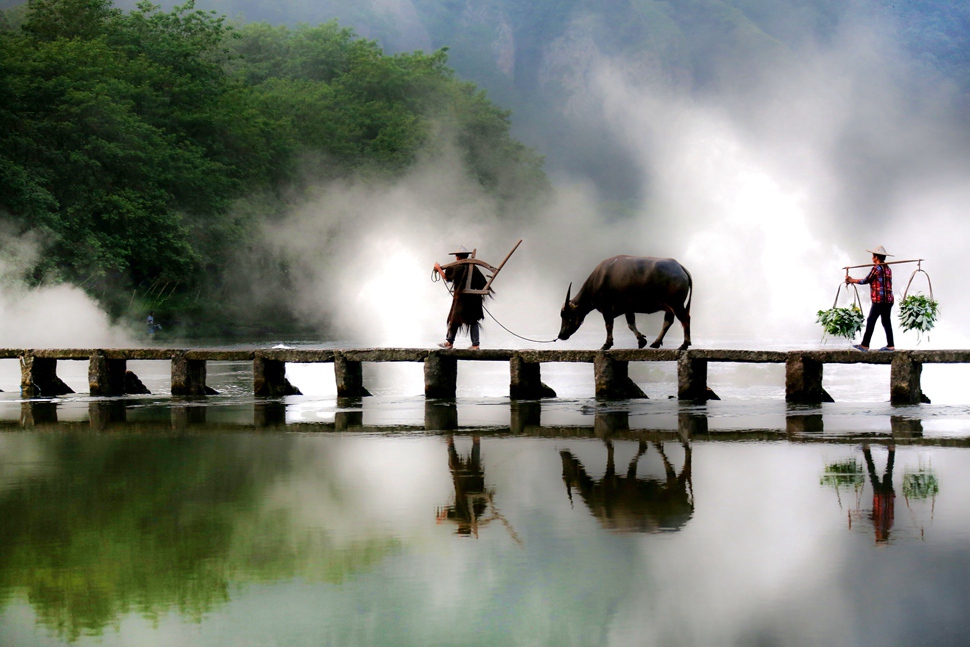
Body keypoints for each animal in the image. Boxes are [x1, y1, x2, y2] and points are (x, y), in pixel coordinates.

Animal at [556, 256, 692, 352]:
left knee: (685, 319)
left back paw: (684, 345)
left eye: (568, 316)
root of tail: (680, 267)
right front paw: (641, 341)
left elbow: (609, 325)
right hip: (670, 307)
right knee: (668, 322)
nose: (561, 335)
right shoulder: (628, 309)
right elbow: (631, 324)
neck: (597, 281)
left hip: (676, 304)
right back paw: (656, 343)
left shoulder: (606, 309)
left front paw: (606, 345)